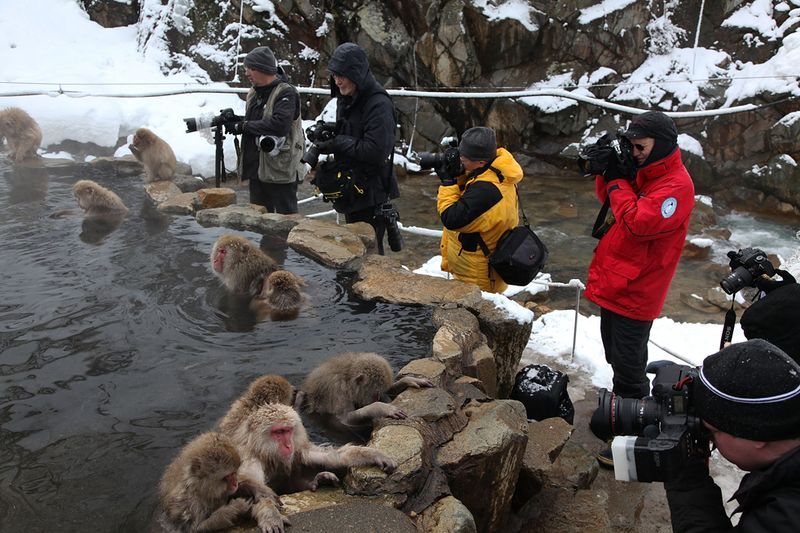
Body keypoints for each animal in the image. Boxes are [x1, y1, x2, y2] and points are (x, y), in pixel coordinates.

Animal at [296, 350, 434, 428]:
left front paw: (409, 380)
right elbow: (344, 420)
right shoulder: (338, 393)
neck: (347, 378)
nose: (378, 398)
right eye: (375, 395)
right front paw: (381, 407)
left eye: (378, 393)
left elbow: (390, 390)